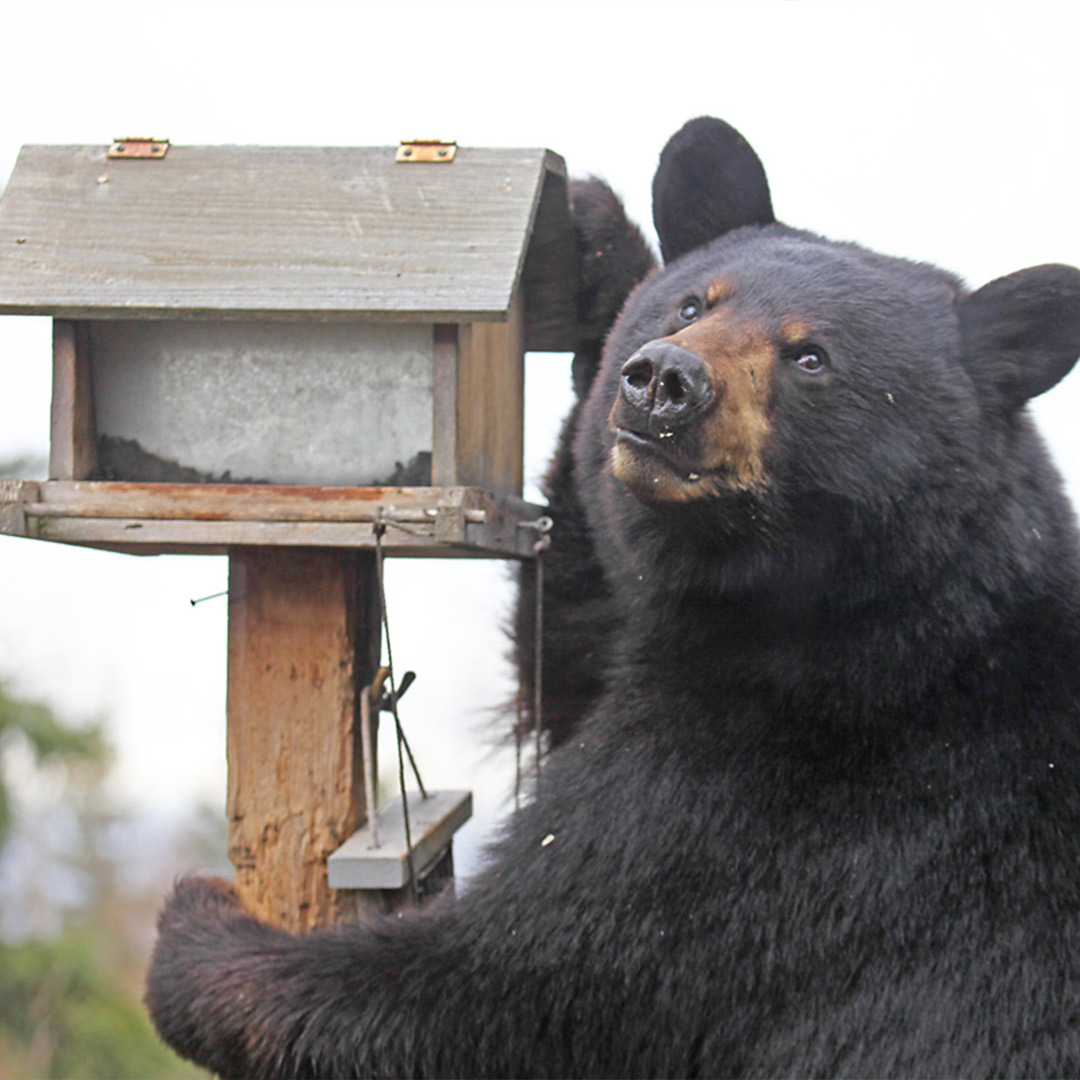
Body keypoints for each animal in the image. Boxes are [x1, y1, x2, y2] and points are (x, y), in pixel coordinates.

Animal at [146, 117, 1080, 1078]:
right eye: (692, 305)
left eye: (811, 356)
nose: (664, 381)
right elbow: (573, 640)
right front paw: (598, 240)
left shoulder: (781, 807)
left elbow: (520, 981)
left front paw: (199, 927)